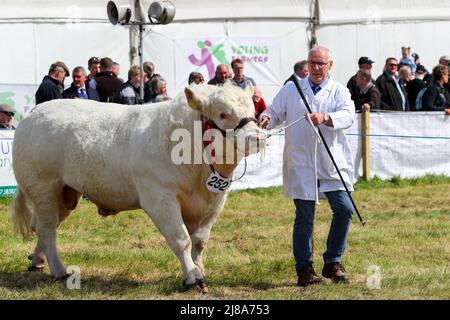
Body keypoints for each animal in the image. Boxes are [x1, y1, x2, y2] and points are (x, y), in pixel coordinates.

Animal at [10, 82, 266, 292]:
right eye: (223, 114)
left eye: (253, 112)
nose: (258, 138)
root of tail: (34, 113)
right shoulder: (159, 197)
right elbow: (181, 239)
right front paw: (193, 277)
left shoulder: (215, 200)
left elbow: (199, 242)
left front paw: (199, 270)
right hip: (44, 187)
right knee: (47, 228)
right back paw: (59, 270)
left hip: (66, 193)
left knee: (42, 226)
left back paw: (37, 260)